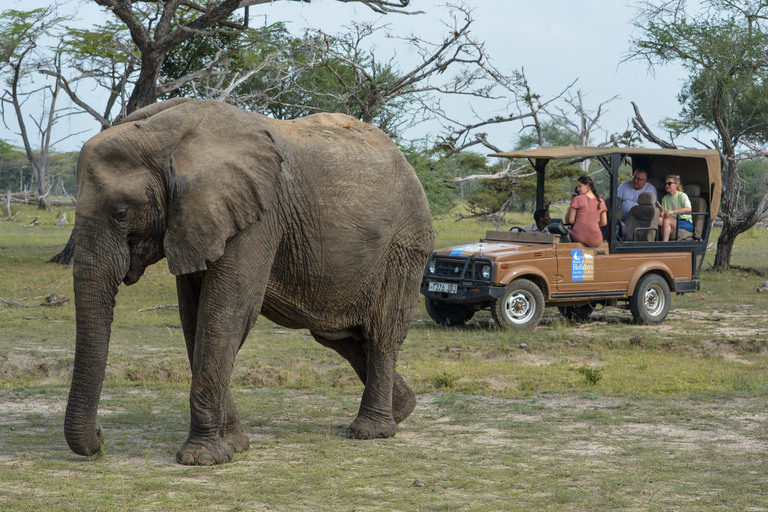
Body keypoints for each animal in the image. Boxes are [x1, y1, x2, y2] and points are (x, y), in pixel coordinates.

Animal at [66, 98, 436, 466]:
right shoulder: (196, 222)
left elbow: (225, 315)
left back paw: (371, 431)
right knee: (337, 335)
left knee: (382, 333)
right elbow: (195, 322)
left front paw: (201, 458)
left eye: (120, 213)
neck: (167, 135)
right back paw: (402, 409)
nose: (101, 438)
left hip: (404, 245)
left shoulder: (258, 217)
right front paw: (235, 446)